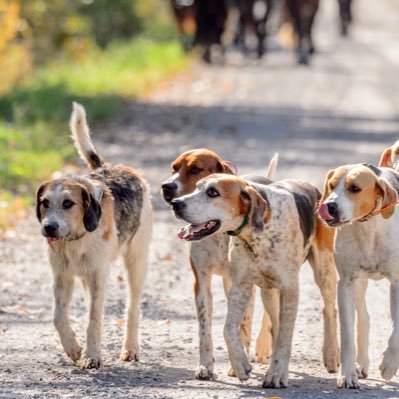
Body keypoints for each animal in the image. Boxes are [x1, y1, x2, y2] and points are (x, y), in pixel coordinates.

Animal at [36, 102, 153, 368]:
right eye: (45, 202)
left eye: (68, 203)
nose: (49, 227)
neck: (76, 239)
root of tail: (113, 167)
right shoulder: (62, 276)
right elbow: (58, 315)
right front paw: (72, 348)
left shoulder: (99, 275)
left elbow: (94, 318)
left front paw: (93, 355)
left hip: (137, 262)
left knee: (132, 307)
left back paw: (131, 348)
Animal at [161, 148, 280, 380]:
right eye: (173, 168)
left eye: (196, 169)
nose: (166, 187)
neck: (220, 235)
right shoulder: (202, 283)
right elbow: (205, 329)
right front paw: (206, 365)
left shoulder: (245, 282)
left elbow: (242, 325)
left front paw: (238, 363)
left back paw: (263, 347)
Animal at [170, 173, 340, 390]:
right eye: (197, 186)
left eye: (213, 192)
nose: (176, 204)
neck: (255, 234)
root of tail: (314, 188)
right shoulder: (240, 287)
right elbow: (228, 329)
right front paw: (240, 365)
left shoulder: (290, 289)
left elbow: (285, 336)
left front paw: (276, 374)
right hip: (269, 292)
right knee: (275, 323)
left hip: (323, 272)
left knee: (329, 310)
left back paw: (331, 355)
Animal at [318, 164, 399, 390]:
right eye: (331, 186)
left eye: (354, 188)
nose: (329, 205)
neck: (369, 226)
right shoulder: (346, 283)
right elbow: (347, 336)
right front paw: (347, 375)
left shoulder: (397, 283)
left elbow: (396, 330)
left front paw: (389, 364)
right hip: (360, 283)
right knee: (364, 319)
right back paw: (361, 363)